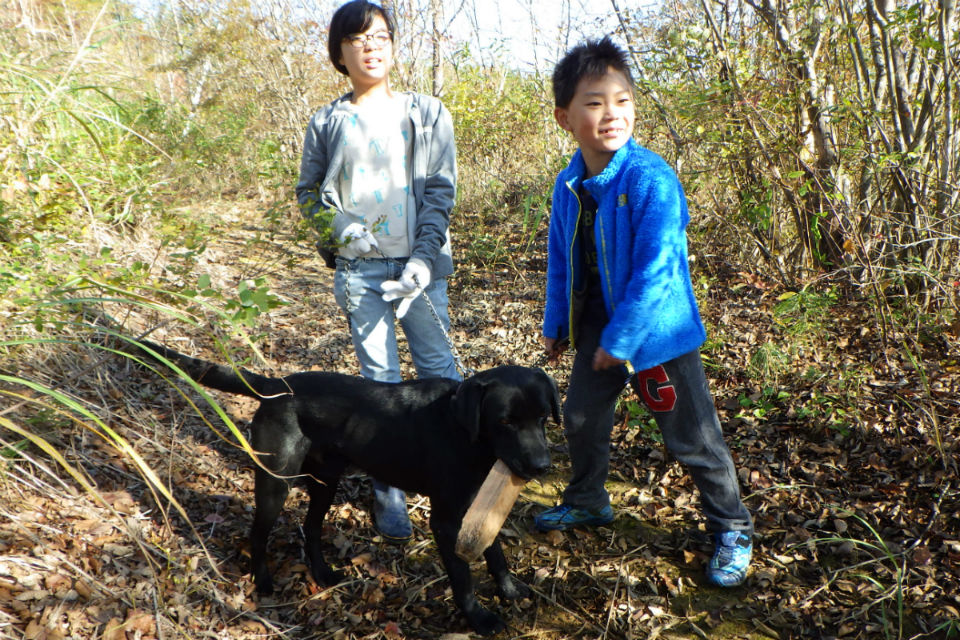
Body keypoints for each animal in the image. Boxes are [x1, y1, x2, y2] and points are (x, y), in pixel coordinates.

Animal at [131, 340, 560, 636]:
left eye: (543, 418)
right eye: (505, 421)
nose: (542, 466)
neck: (463, 428)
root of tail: (277, 385)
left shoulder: (478, 506)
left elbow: (495, 551)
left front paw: (508, 589)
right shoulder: (446, 518)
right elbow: (462, 575)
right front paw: (479, 618)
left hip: (325, 482)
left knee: (311, 528)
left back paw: (322, 572)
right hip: (275, 480)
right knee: (259, 532)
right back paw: (263, 580)